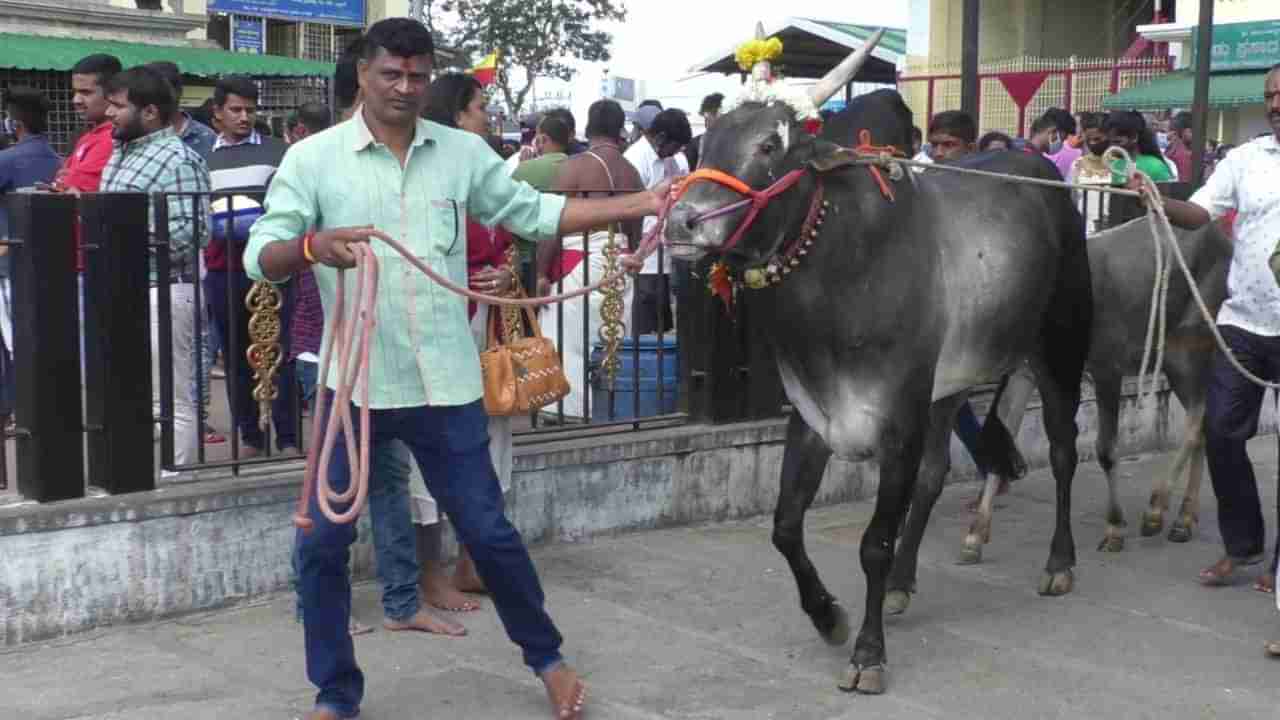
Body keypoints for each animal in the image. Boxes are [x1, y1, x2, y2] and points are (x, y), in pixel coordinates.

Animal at [665, 82, 1095, 691]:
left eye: (770, 144)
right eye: (704, 142)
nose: (682, 222)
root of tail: (1044, 174)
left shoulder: (898, 425)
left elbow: (874, 543)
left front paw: (868, 653)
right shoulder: (814, 417)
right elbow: (785, 528)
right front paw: (829, 617)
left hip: (1059, 350)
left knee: (1062, 451)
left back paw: (1059, 563)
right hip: (949, 385)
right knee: (936, 474)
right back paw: (901, 583)